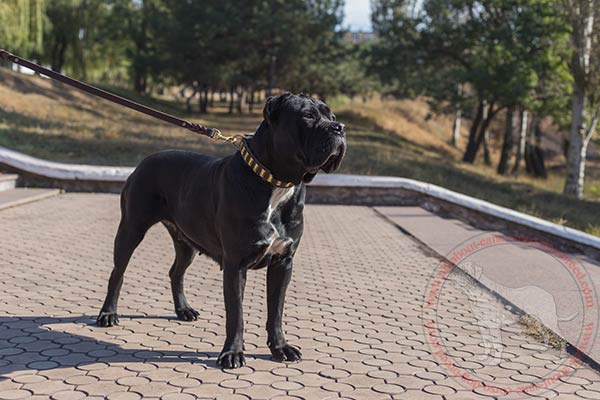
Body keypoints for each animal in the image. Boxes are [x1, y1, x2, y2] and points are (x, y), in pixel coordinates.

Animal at [95, 93, 344, 368]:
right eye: (308, 116)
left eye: (332, 116)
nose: (340, 128)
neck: (276, 182)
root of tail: (146, 160)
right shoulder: (236, 264)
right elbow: (236, 314)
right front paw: (232, 353)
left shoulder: (283, 263)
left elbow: (276, 311)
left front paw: (280, 348)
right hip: (131, 228)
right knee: (117, 272)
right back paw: (108, 314)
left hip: (186, 241)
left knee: (175, 272)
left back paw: (183, 310)